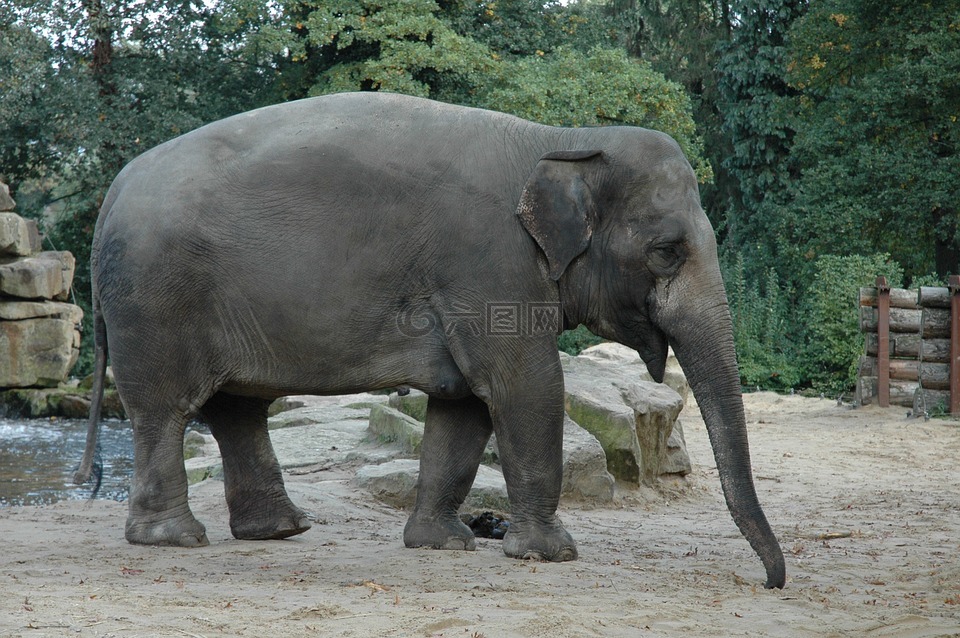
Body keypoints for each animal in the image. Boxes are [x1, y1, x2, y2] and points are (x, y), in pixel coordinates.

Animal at [74, 91, 785, 589]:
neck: (564, 141)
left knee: (235, 408)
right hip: (156, 300)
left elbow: (465, 405)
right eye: (666, 251)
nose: (770, 582)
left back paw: (279, 531)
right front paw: (551, 555)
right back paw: (175, 539)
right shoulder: (492, 263)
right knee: (166, 410)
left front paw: (442, 544)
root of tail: (111, 191)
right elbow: (525, 387)